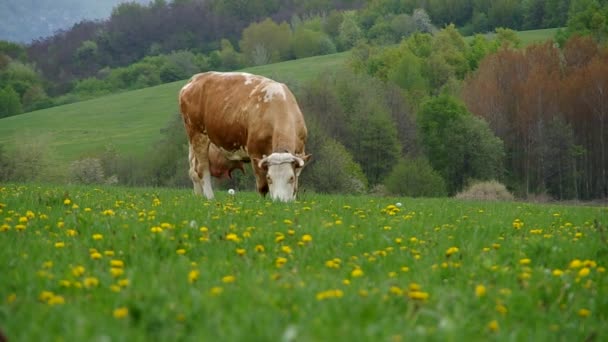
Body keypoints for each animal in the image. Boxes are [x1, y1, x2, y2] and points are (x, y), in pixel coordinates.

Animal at [178, 71, 312, 202]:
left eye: (291, 178)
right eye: (269, 178)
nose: (280, 201)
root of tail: (197, 77)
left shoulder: (300, 152)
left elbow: (296, 185)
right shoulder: (255, 154)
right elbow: (262, 186)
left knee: (194, 172)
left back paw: (199, 196)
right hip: (197, 136)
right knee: (202, 169)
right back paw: (210, 198)